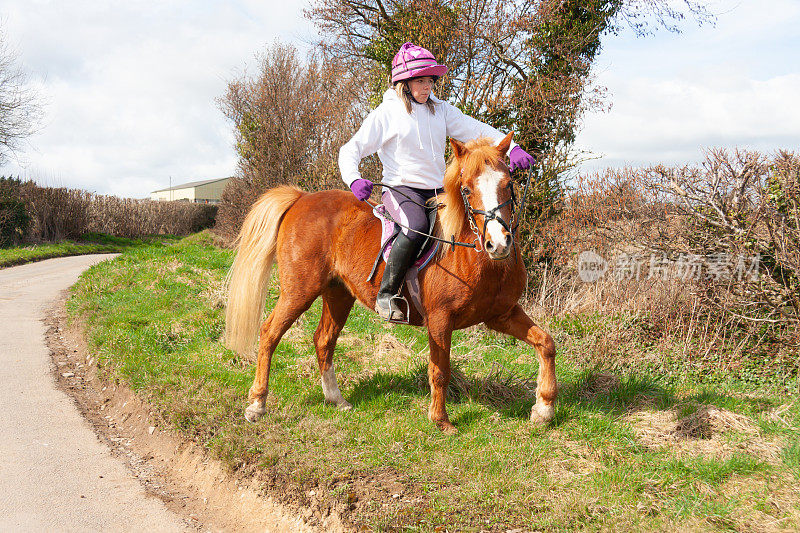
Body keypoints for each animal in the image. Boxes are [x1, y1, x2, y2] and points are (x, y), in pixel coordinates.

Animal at [227, 133, 556, 432]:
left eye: (508, 184)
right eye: (466, 189)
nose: (497, 244)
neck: (475, 257)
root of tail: (301, 197)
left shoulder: (501, 314)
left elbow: (546, 343)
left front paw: (544, 409)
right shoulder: (440, 321)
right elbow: (440, 370)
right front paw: (441, 421)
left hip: (338, 294)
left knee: (323, 339)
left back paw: (336, 399)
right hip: (299, 291)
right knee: (270, 333)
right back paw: (257, 403)